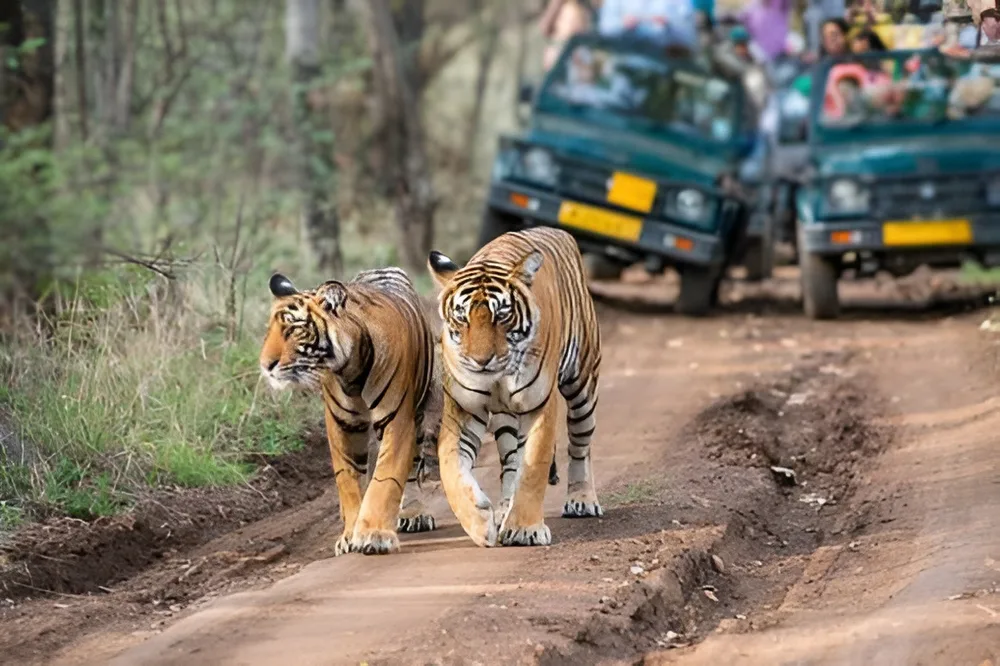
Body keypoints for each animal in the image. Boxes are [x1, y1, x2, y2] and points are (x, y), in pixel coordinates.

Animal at [260, 268, 440, 552]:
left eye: (294, 330)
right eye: (270, 331)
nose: (265, 365)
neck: (350, 372)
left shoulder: (398, 420)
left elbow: (386, 477)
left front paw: (375, 534)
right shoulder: (342, 425)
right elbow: (348, 479)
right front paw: (349, 535)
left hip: (420, 413)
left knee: (412, 467)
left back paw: (413, 515)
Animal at [424, 226, 596, 548]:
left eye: (501, 315)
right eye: (462, 316)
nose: (481, 361)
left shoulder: (539, 404)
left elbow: (534, 465)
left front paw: (524, 529)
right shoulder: (464, 409)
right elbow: (450, 466)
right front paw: (480, 523)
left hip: (583, 385)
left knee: (580, 445)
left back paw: (581, 500)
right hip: (505, 419)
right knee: (510, 461)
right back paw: (504, 510)